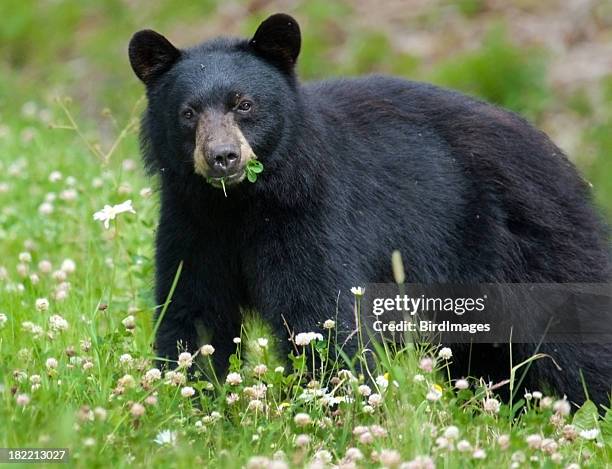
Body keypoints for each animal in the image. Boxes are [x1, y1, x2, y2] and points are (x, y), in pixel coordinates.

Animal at [126, 12, 608, 404]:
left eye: (245, 105)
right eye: (188, 113)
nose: (223, 157)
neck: (241, 204)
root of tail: (565, 165)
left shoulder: (312, 214)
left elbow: (321, 313)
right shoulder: (192, 221)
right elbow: (193, 310)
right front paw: (186, 401)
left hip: (534, 245)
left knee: (578, 338)